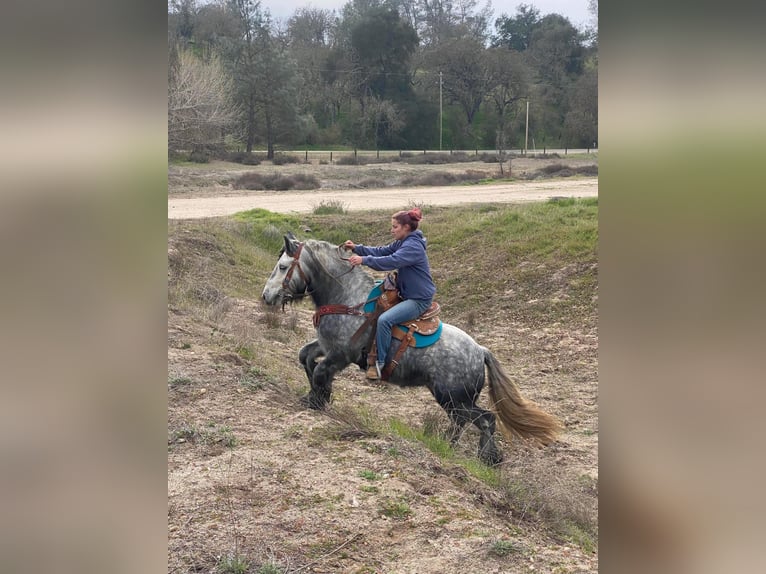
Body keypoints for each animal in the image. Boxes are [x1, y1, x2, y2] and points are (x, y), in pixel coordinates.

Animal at [260, 232, 560, 466]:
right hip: (453, 401)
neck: (348, 300)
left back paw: (488, 458)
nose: (267, 296)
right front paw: (314, 396)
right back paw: (448, 446)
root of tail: (480, 350)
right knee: (463, 422)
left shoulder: (340, 355)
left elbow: (321, 371)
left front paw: (318, 399)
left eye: (284, 266)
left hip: (455, 399)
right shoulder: (325, 345)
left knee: (485, 419)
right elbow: (305, 358)